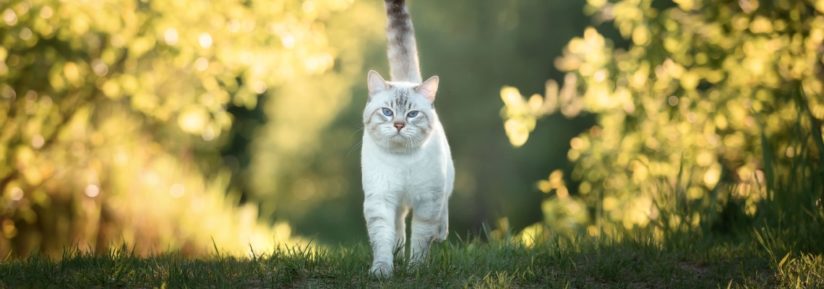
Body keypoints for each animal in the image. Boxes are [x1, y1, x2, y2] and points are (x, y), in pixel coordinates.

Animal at [360, 0, 454, 278]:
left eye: (412, 114)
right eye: (387, 112)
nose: (399, 125)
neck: (401, 160)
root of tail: (407, 80)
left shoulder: (427, 202)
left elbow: (421, 240)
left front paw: (416, 269)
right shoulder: (380, 201)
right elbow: (382, 239)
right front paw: (382, 270)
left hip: (444, 184)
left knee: (443, 211)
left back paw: (440, 234)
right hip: (396, 204)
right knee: (399, 228)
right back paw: (397, 255)